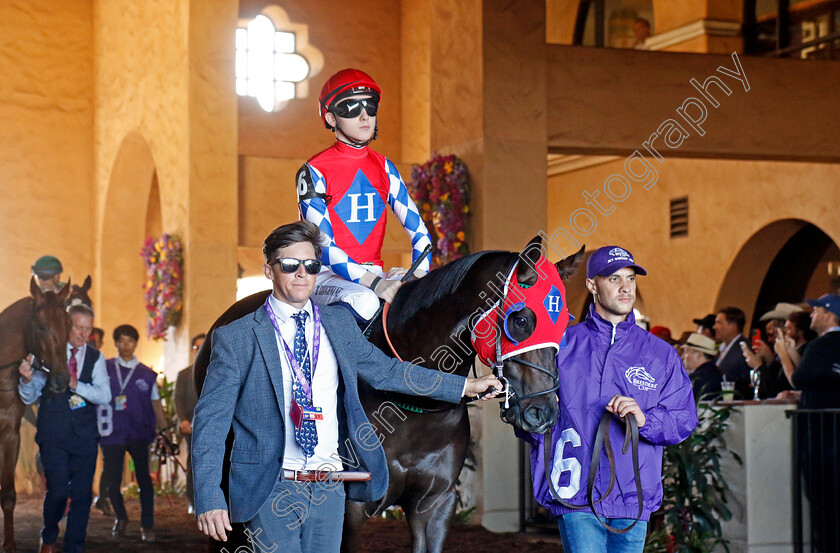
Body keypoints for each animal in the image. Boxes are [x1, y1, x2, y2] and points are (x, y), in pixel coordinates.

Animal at [0, 278, 73, 552]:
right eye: (41, 326)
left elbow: (8, 494)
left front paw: (9, 544)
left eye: (68, 323)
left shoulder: (10, 434)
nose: (61, 380)